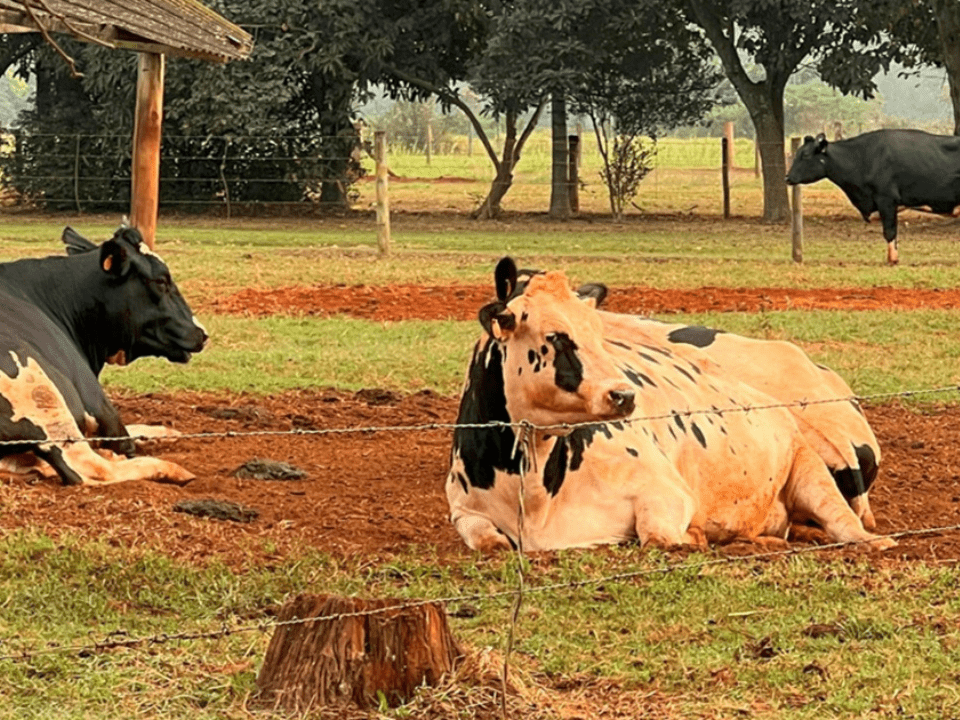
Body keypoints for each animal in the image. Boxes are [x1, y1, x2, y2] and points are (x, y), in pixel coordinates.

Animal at [0, 226, 207, 486]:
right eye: (161, 280)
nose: (202, 333)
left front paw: (165, 432)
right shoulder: (101, 407)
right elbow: (124, 439)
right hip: (42, 397)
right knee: (87, 467)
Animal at [445, 258, 895, 552]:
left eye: (597, 332)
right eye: (555, 336)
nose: (624, 394)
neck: (534, 487)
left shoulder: (664, 490)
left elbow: (660, 536)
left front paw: (695, 535)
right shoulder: (463, 509)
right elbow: (487, 542)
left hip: (809, 469)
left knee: (847, 525)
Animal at [785, 129, 960, 265]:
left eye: (805, 155)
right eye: (797, 153)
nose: (787, 177)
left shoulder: (886, 200)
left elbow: (889, 231)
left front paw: (892, 260)